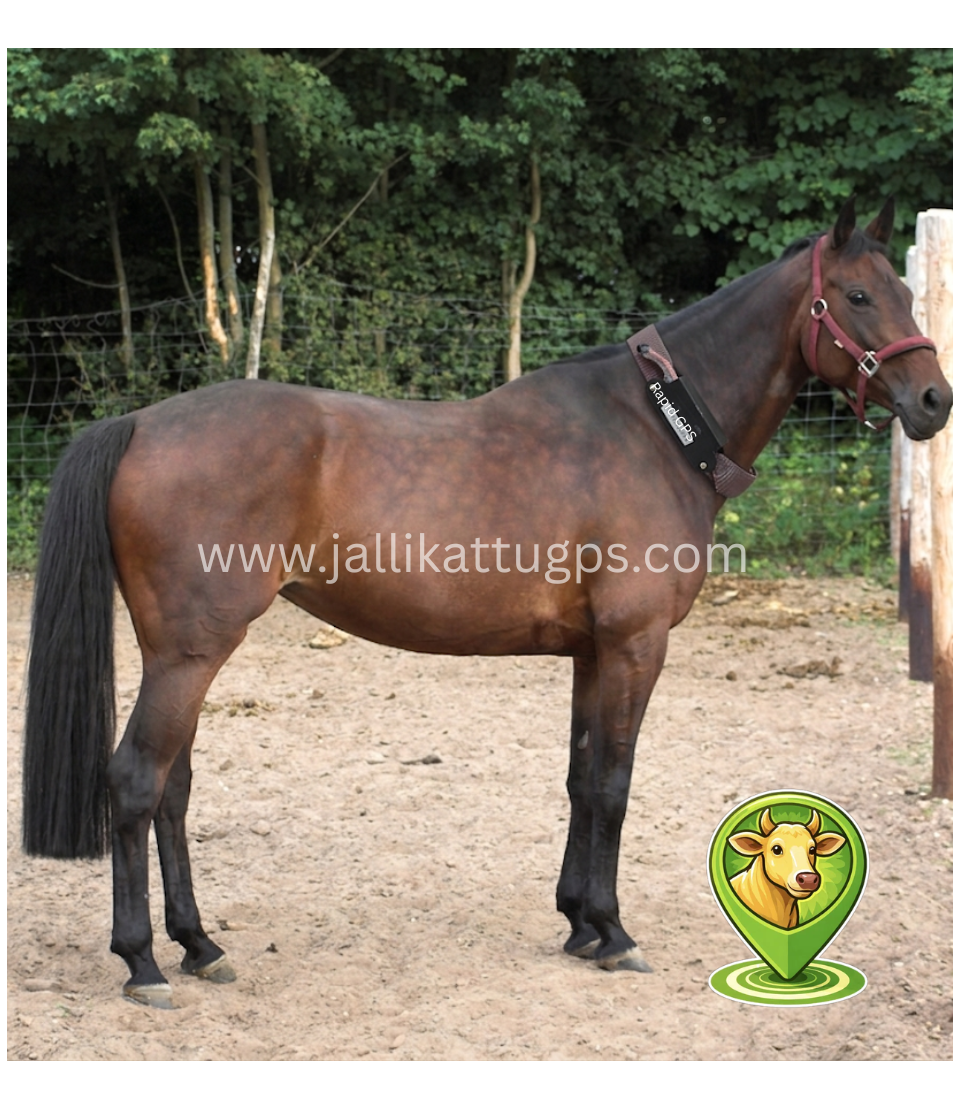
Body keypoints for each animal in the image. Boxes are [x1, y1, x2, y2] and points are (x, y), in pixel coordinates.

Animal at [22, 198, 951, 1007]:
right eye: (856, 296)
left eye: (906, 294)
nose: (935, 400)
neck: (655, 430)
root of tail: (140, 423)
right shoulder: (635, 643)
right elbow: (615, 782)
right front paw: (614, 931)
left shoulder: (592, 651)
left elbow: (582, 778)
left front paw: (578, 922)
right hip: (190, 652)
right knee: (136, 782)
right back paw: (144, 960)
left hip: (180, 654)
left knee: (172, 790)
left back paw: (200, 943)